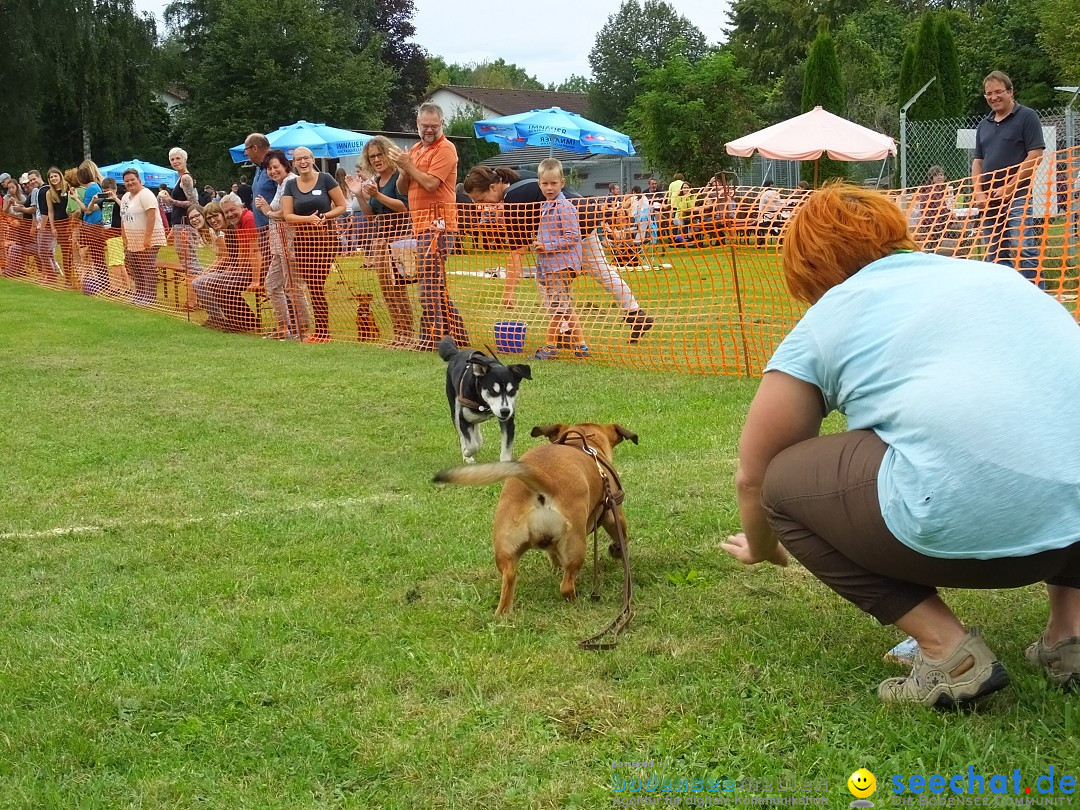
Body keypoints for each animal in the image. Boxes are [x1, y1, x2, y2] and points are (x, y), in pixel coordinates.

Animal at [429, 425, 630, 613]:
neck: (579, 441)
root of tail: (544, 481)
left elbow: (552, 554)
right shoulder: (613, 514)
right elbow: (621, 537)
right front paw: (619, 552)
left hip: (506, 547)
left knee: (509, 577)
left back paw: (504, 614)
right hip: (576, 544)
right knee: (566, 586)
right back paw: (576, 600)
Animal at [438, 334, 531, 462]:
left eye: (512, 391)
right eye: (492, 391)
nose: (505, 411)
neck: (484, 403)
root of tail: (457, 353)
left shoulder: (508, 423)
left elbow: (505, 452)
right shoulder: (463, 419)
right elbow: (472, 444)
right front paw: (467, 453)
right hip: (454, 407)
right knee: (463, 435)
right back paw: (467, 456)